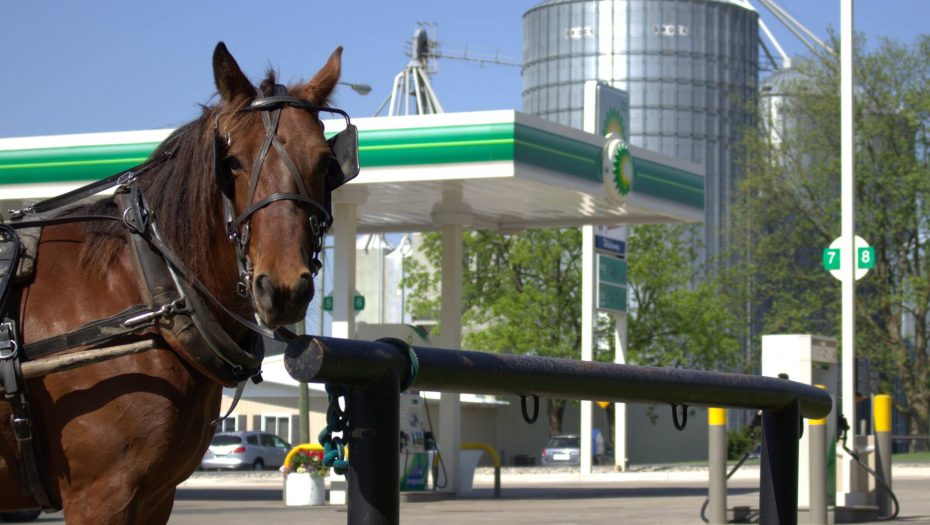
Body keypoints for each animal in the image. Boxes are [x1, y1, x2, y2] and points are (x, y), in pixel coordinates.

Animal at [0, 43, 348, 520]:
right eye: (231, 162)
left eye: (326, 162)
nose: (282, 288)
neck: (150, 289)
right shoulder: (99, 495)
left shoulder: (156, 495)